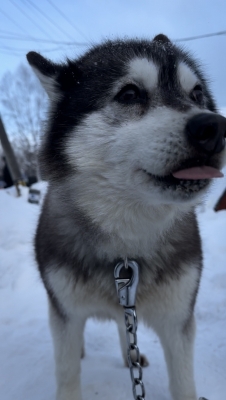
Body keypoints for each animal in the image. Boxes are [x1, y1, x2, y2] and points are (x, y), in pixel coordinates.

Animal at [26, 35, 226, 400]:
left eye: (197, 94)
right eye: (129, 94)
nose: (215, 126)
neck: (127, 247)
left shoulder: (177, 319)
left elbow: (183, 383)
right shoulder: (66, 313)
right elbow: (67, 372)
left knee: (125, 325)